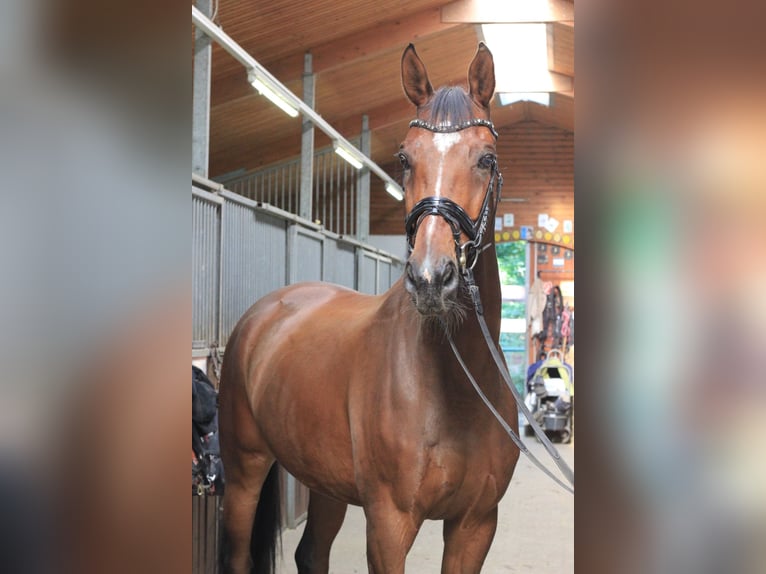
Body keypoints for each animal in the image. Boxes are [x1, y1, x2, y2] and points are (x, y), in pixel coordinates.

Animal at [219, 42, 524, 572]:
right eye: (404, 158)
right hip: (242, 473)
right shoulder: (388, 524)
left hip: (323, 481)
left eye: (487, 159)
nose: (430, 278)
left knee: (311, 553)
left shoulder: (475, 525)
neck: (456, 386)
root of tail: (262, 314)